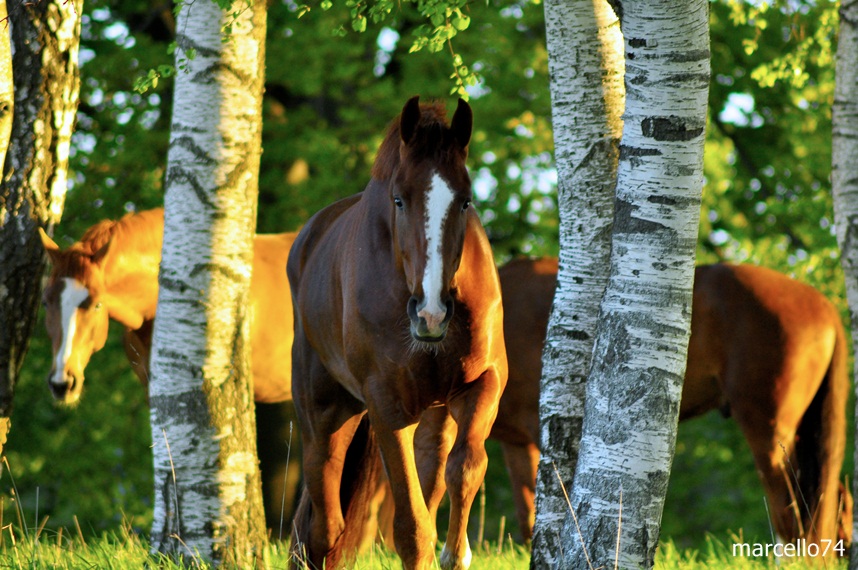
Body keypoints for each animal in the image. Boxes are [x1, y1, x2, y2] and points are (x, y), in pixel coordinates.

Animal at [287, 96, 507, 570]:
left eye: (465, 201)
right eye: (400, 200)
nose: (431, 314)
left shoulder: (483, 382)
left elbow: (464, 470)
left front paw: (456, 553)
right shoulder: (387, 405)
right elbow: (411, 528)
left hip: (433, 414)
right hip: (324, 416)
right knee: (324, 525)